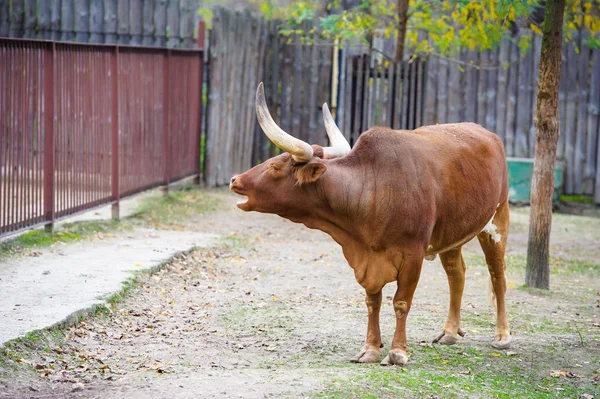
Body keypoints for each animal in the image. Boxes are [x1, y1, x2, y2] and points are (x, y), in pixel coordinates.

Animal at [230, 83, 510, 368]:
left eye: (274, 166)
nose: (234, 179)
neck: (374, 189)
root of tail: (487, 133)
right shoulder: (368, 259)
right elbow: (372, 302)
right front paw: (371, 349)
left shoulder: (413, 254)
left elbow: (401, 302)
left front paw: (397, 352)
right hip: (452, 235)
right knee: (457, 274)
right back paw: (450, 332)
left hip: (497, 221)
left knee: (497, 274)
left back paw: (503, 335)